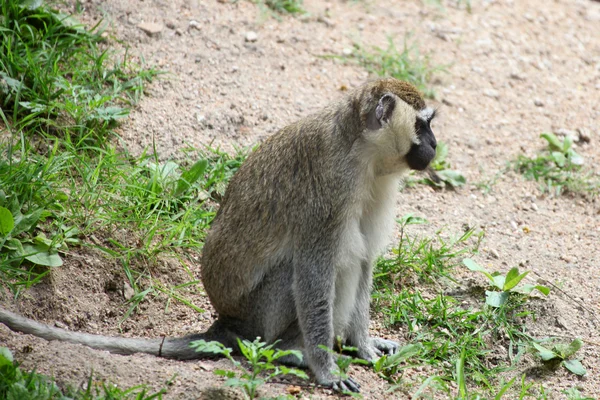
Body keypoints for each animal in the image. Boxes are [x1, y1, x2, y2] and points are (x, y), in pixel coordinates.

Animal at [1, 78, 440, 394]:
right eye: (422, 124)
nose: (435, 145)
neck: (364, 154)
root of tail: (226, 324)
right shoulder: (330, 192)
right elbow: (315, 273)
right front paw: (326, 370)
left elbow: (365, 262)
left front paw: (363, 346)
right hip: (259, 317)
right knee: (300, 274)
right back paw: (287, 353)